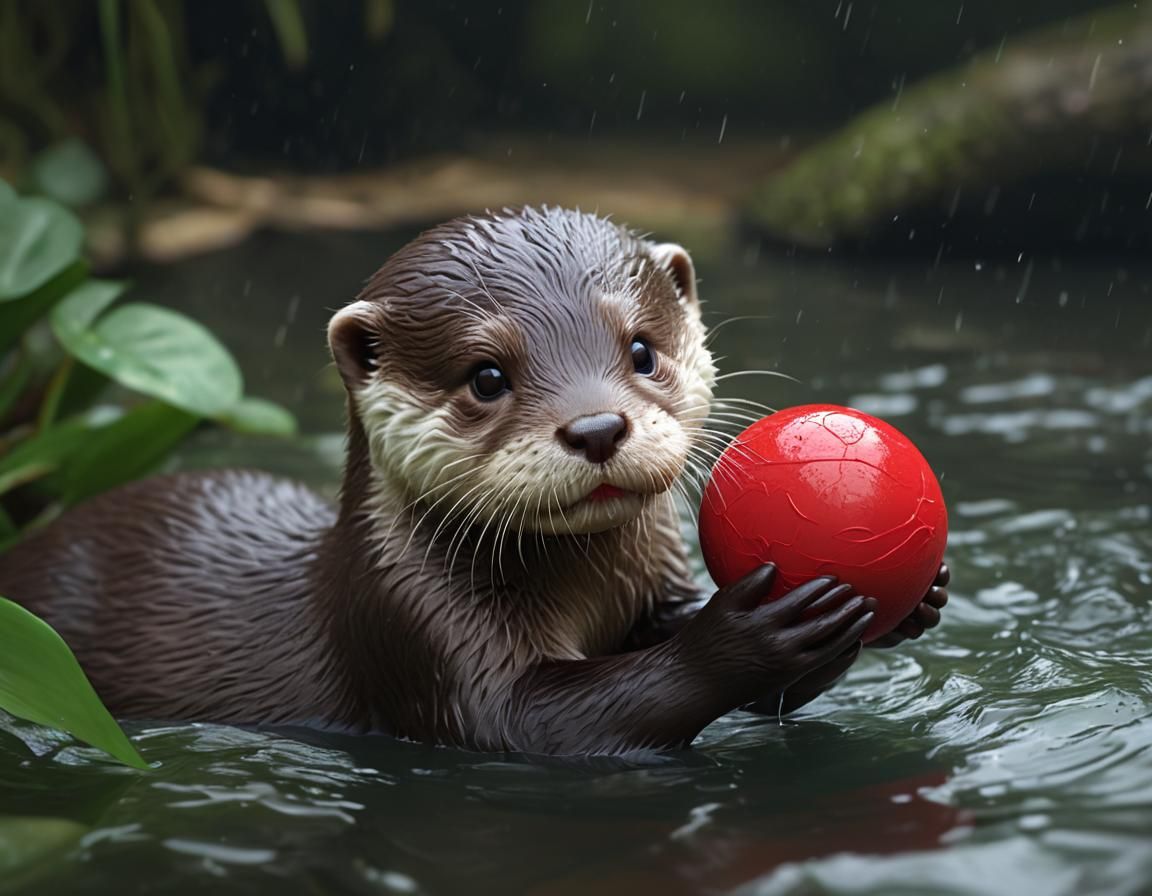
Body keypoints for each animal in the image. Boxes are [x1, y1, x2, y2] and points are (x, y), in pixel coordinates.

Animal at [0, 208, 947, 755]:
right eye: (487, 376)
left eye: (642, 348)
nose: (597, 428)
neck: (583, 595)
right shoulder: (407, 617)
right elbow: (532, 724)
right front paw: (744, 632)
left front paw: (917, 600)